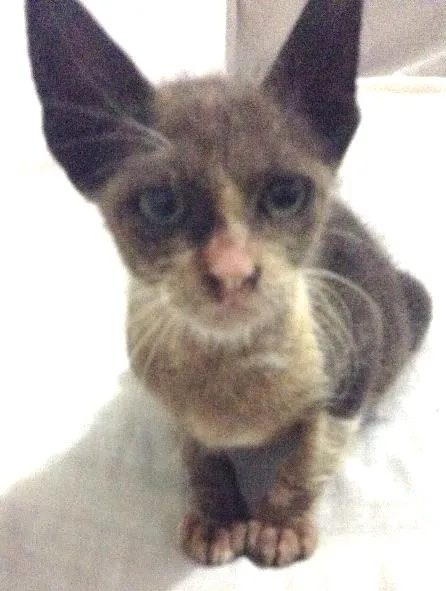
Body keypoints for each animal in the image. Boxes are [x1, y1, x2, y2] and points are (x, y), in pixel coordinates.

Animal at [26, 0, 431, 567]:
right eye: (161, 205)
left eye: (285, 194)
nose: (232, 270)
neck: (231, 364)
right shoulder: (172, 401)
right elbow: (198, 455)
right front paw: (218, 515)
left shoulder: (352, 363)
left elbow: (310, 455)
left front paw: (278, 524)